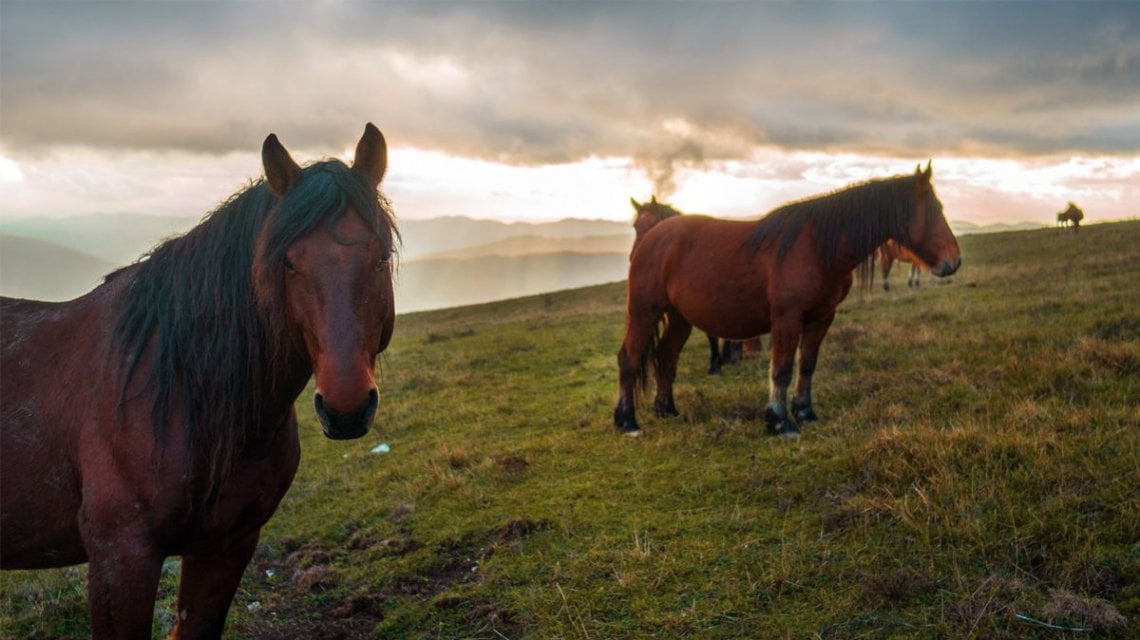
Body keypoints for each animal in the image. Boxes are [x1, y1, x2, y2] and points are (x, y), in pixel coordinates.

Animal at [1, 123, 397, 639]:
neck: (182, 389)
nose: (346, 408)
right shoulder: (120, 556)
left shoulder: (227, 545)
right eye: (288, 263)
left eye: (381, 257)